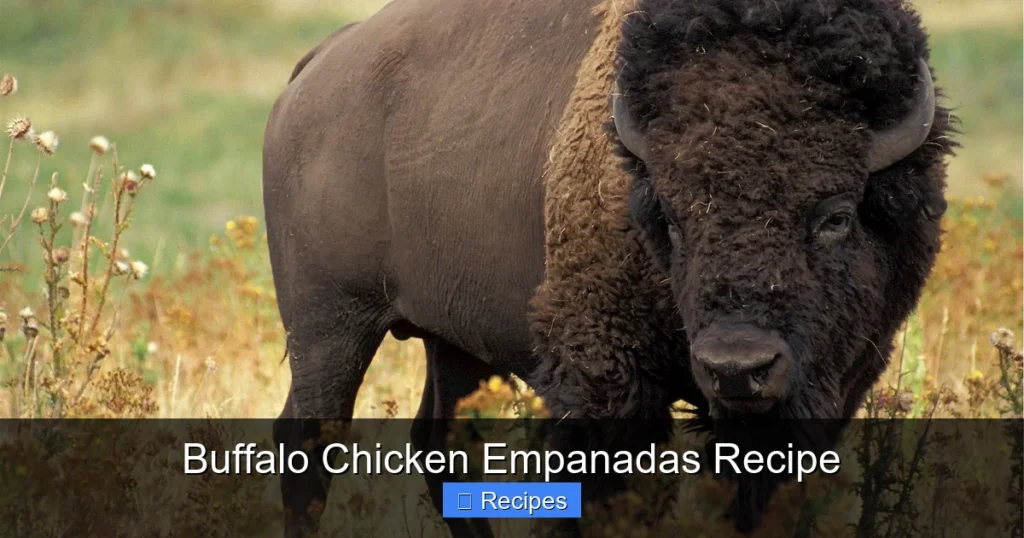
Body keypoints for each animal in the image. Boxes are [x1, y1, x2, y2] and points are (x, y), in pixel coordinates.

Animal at [262, 0, 955, 536]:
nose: (737, 367)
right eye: (670, 217)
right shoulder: (605, 379)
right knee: (307, 448)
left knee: (442, 451)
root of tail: (317, 67)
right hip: (330, 327)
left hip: (454, 341)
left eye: (835, 215)